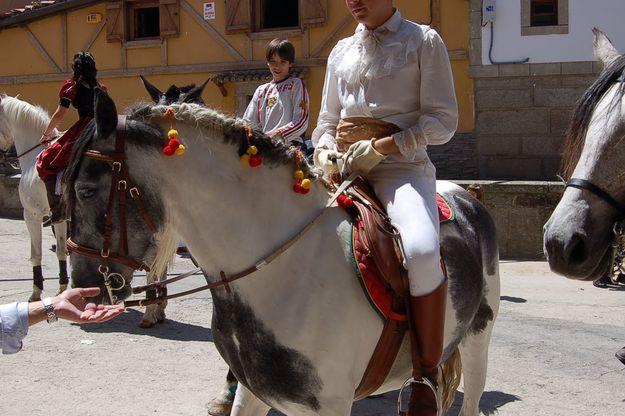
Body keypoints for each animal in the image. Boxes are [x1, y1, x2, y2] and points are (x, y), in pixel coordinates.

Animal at [0, 95, 67, 300]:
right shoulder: (59, 218)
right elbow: (61, 250)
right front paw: (63, 288)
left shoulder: (31, 215)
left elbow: (36, 254)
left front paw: (36, 291)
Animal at [66, 90, 500, 416]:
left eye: (85, 190)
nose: (82, 287)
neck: (286, 272)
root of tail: (467, 197)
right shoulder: (254, 392)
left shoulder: (330, 405)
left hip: (477, 337)